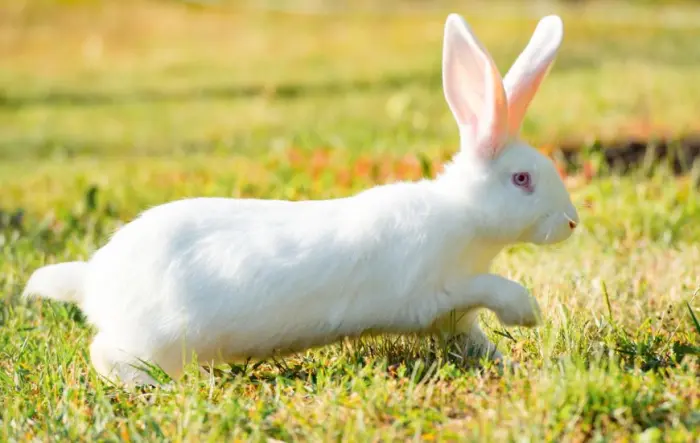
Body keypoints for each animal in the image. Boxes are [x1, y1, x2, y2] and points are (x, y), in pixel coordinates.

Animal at [23, 13, 578, 386]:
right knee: (105, 353)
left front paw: (516, 364)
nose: (571, 223)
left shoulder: (455, 320)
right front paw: (527, 313)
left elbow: (477, 343)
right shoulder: (434, 291)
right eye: (522, 179)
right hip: (156, 337)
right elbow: (492, 287)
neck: (463, 215)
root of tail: (93, 278)